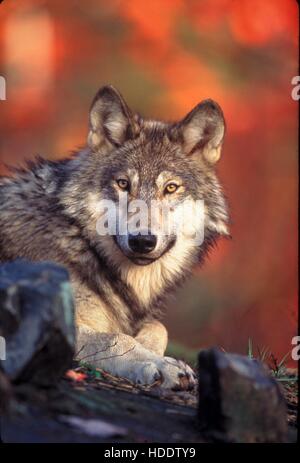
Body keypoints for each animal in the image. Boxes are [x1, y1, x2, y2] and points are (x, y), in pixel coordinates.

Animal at [0, 85, 229, 390]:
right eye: (123, 184)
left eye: (170, 188)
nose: (142, 241)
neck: (81, 242)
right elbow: (115, 339)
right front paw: (159, 364)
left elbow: (158, 328)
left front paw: (154, 351)